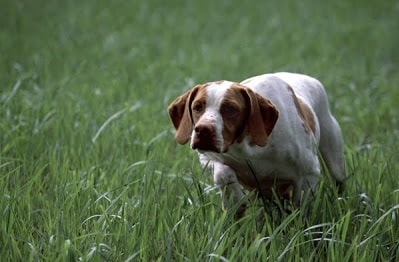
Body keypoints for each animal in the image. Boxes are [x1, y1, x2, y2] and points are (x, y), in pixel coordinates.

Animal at [167, 72, 346, 217]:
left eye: (230, 108)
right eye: (197, 107)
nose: (203, 130)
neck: (248, 147)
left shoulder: (309, 173)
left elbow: (301, 213)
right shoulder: (208, 157)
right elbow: (223, 173)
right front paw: (235, 200)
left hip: (335, 161)